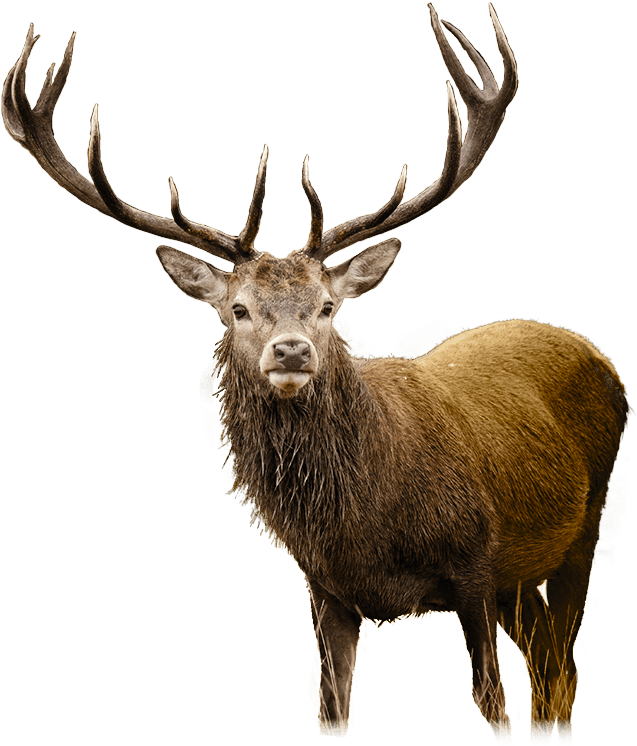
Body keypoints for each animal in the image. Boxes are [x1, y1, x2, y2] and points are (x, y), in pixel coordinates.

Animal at [3, 4, 630, 742]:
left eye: (329, 306)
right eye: (238, 308)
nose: (292, 350)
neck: (365, 524)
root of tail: (599, 358)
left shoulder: (477, 563)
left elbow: (491, 706)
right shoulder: (325, 588)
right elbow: (332, 708)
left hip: (580, 531)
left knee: (558, 676)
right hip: (524, 579)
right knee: (550, 669)